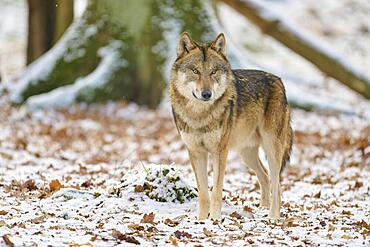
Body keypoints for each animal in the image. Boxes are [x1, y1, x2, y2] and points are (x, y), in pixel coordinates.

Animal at [168, 32, 292, 220]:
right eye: (195, 71)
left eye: (213, 71)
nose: (206, 94)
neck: (200, 115)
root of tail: (279, 81)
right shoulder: (195, 152)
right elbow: (203, 193)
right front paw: (201, 220)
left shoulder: (220, 152)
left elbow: (216, 191)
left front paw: (214, 220)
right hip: (246, 154)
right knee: (266, 178)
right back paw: (262, 210)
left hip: (272, 149)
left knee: (277, 182)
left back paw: (273, 217)